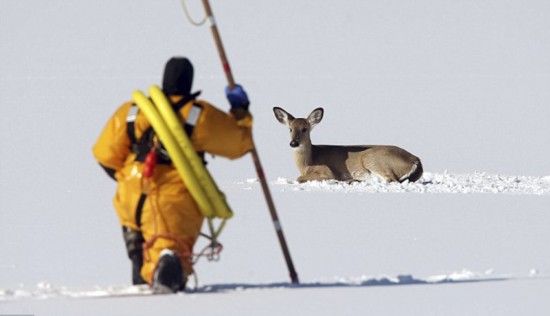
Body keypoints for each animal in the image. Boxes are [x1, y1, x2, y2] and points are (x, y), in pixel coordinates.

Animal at [274, 107, 424, 184]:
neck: (309, 162)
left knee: (391, 180)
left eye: (305, 129)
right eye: (290, 129)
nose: (293, 143)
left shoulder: (326, 170)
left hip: (372, 158)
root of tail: (416, 159)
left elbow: (299, 178)